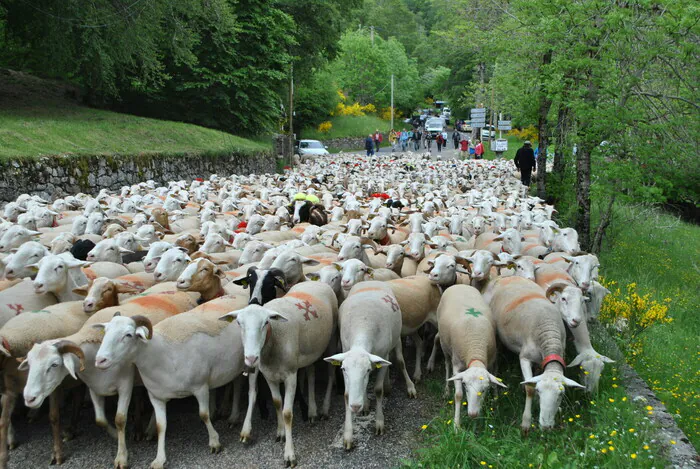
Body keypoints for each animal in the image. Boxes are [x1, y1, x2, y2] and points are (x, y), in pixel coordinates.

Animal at [94, 292, 253, 468]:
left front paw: (214, 442)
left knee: (238, 385)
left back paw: (233, 417)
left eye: (128, 335)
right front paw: (159, 459)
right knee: (236, 382)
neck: (162, 355)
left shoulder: (200, 387)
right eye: (105, 331)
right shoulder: (156, 396)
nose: (100, 360)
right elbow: (161, 426)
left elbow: (203, 415)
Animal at [219, 280, 340, 466]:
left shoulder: (291, 375)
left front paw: (289, 454)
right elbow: (277, 403)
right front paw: (280, 432)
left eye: (265, 323)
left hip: (332, 338)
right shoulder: (269, 375)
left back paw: (321, 409)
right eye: (239, 323)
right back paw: (312, 411)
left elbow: (288, 413)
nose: (251, 358)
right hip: (310, 349)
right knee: (311, 373)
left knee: (331, 372)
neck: (273, 341)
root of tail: (314, 281)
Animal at [324, 280, 416, 448]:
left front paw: (379, 422)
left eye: (367, 370)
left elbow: (378, 390)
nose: (355, 406)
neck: (363, 324)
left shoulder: (383, 354)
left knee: (400, 362)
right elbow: (347, 394)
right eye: (343, 369)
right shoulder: (346, 350)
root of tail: (370, 280)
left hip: (396, 340)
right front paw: (348, 435)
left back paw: (409, 387)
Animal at [438, 284, 504, 426]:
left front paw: (495, 401)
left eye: (483, 390)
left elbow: (494, 380)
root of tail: (459, 284)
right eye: (466, 388)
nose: (472, 414)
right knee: (446, 364)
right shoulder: (457, 366)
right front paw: (456, 424)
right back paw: (446, 390)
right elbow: (458, 395)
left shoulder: (492, 360)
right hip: (444, 345)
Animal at [490, 274, 584, 432]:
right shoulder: (524, 358)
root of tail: (506, 276)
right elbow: (529, 388)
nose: (546, 426)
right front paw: (526, 423)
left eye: (561, 394)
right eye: (539, 391)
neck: (549, 334)